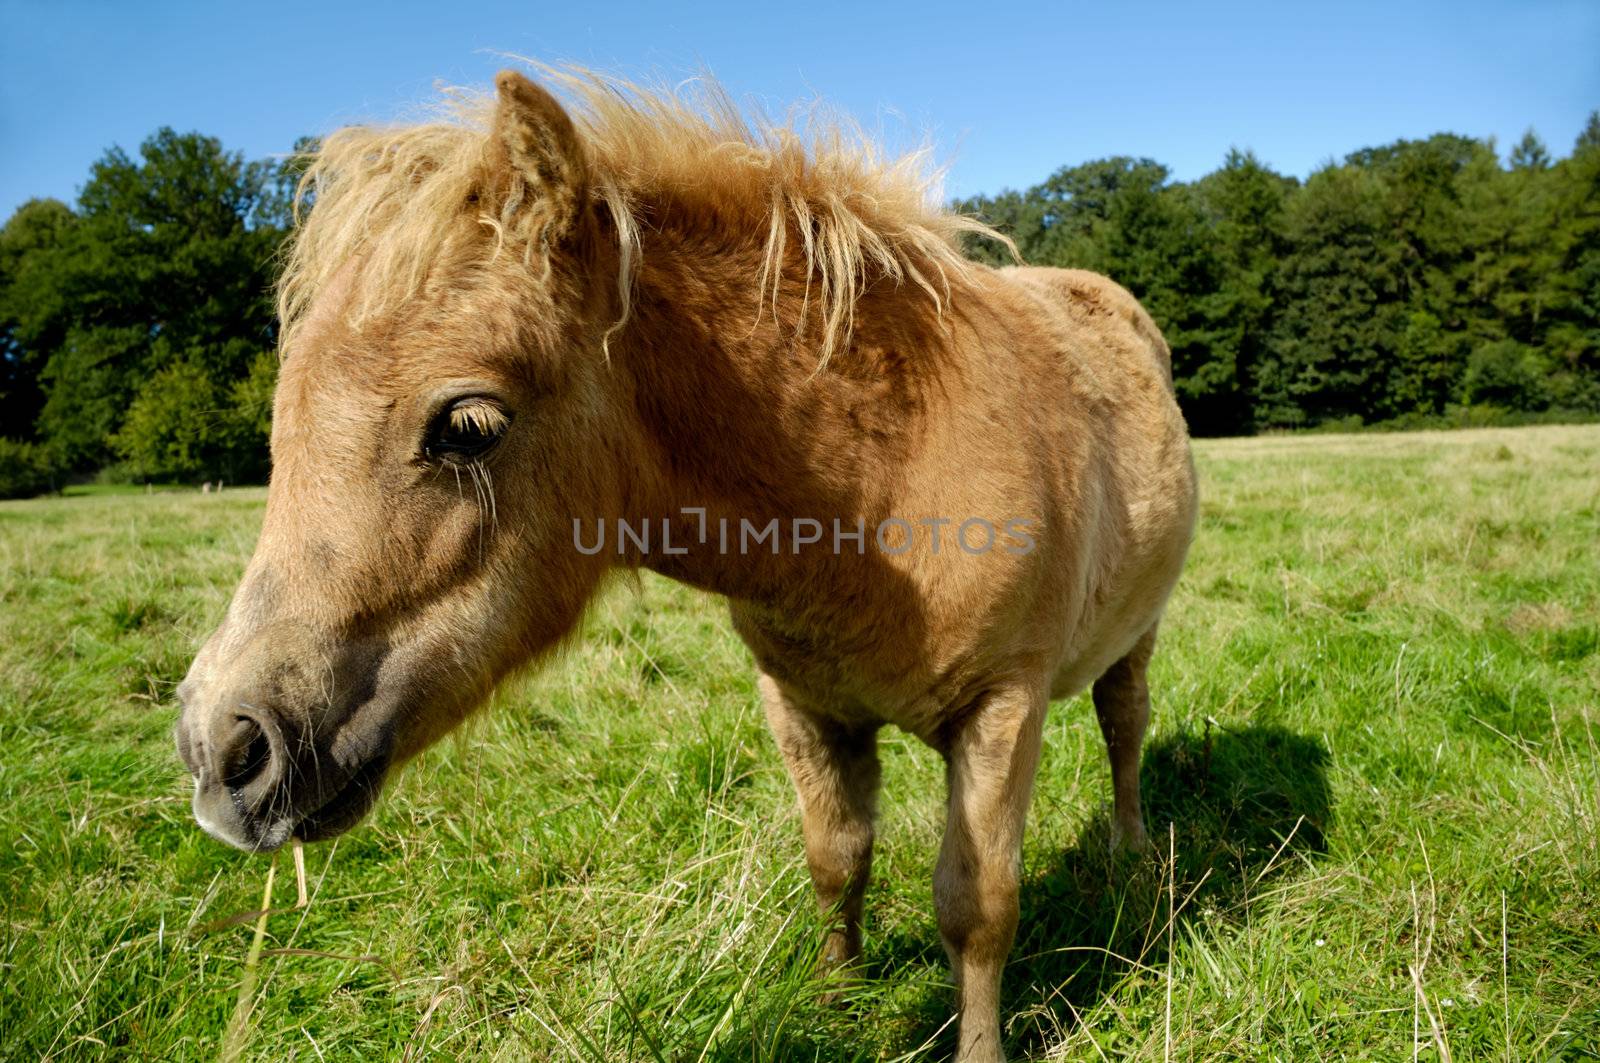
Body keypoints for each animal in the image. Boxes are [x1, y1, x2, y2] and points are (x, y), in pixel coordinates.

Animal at [178, 64, 1203, 1056]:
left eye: (467, 425)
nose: (222, 749)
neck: (889, 477)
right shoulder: (806, 705)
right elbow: (837, 858)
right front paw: (837, 996)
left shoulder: (1002, 705)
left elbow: (977, 907)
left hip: (1139, 635)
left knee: (1124, 727)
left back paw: (1132, 854)